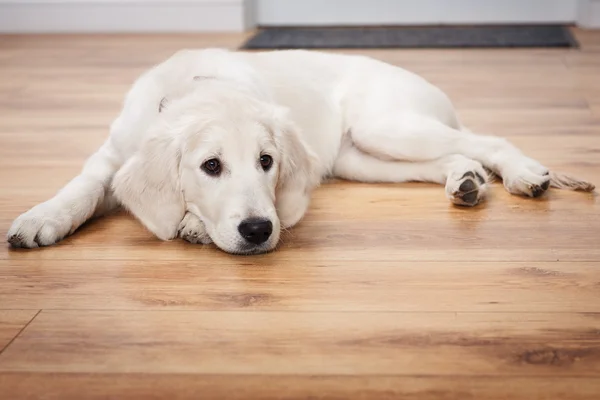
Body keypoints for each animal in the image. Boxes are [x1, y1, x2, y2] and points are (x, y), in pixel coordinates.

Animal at [5, 49, 596, 253]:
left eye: (267, 162)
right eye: (211, 166)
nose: (258, 230)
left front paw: (193, 224)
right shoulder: (110, 153)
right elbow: (82, 186)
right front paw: (41, 218)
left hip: (387, 125)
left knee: (485, 141)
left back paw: (523, 174)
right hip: (362, 158)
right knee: (452, 159)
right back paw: (466, 182)